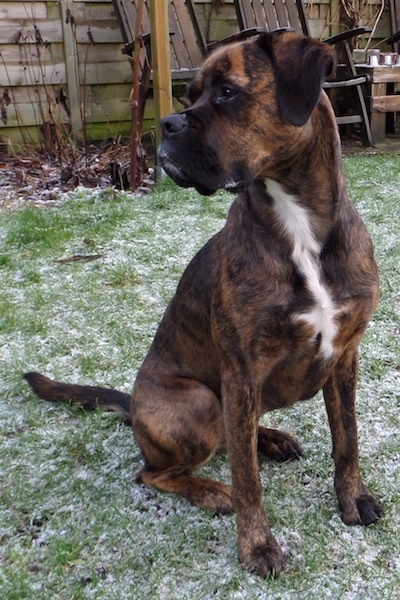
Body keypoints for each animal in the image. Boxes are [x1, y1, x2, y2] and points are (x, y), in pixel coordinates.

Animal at [23, 31, 382, 576]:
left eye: (228, 92)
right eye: (190, 95)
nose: (167, 124)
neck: (299, 227)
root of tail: (135, 405)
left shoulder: (344, 357)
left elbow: (348, 439)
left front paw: (352, 499)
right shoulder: (240, 372)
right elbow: (248, 480)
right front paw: (257, 546)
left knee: (238, 438)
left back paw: (270, 439)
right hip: (202, 400)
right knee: (157, 472)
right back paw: (213, 490)